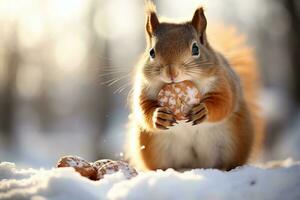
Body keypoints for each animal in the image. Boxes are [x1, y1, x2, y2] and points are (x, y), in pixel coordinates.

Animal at [125, 1, 264, 170]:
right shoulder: (143, 88)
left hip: (235, 140)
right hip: (151, 146)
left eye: (196, 48)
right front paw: (158, 115)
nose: (172, 72)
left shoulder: (223, 82)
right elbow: (143, 108)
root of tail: (195, 165)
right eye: (151, 52)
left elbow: (224, 102)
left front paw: (203, 110)